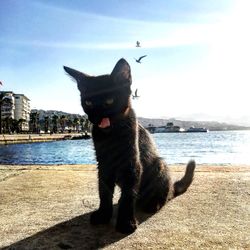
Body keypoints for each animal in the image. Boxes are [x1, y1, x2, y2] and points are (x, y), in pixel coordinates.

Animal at [64, 58, 195, 234]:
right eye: (88, 102)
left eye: (110, 100)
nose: (97, 117)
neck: (111, 135)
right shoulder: (103, 164)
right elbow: (104, 191)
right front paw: (103, 215)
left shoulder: (132, 164)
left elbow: (128, 195)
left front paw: (126, 222)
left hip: (160, 165)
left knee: (163, 196)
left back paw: (153, 204)